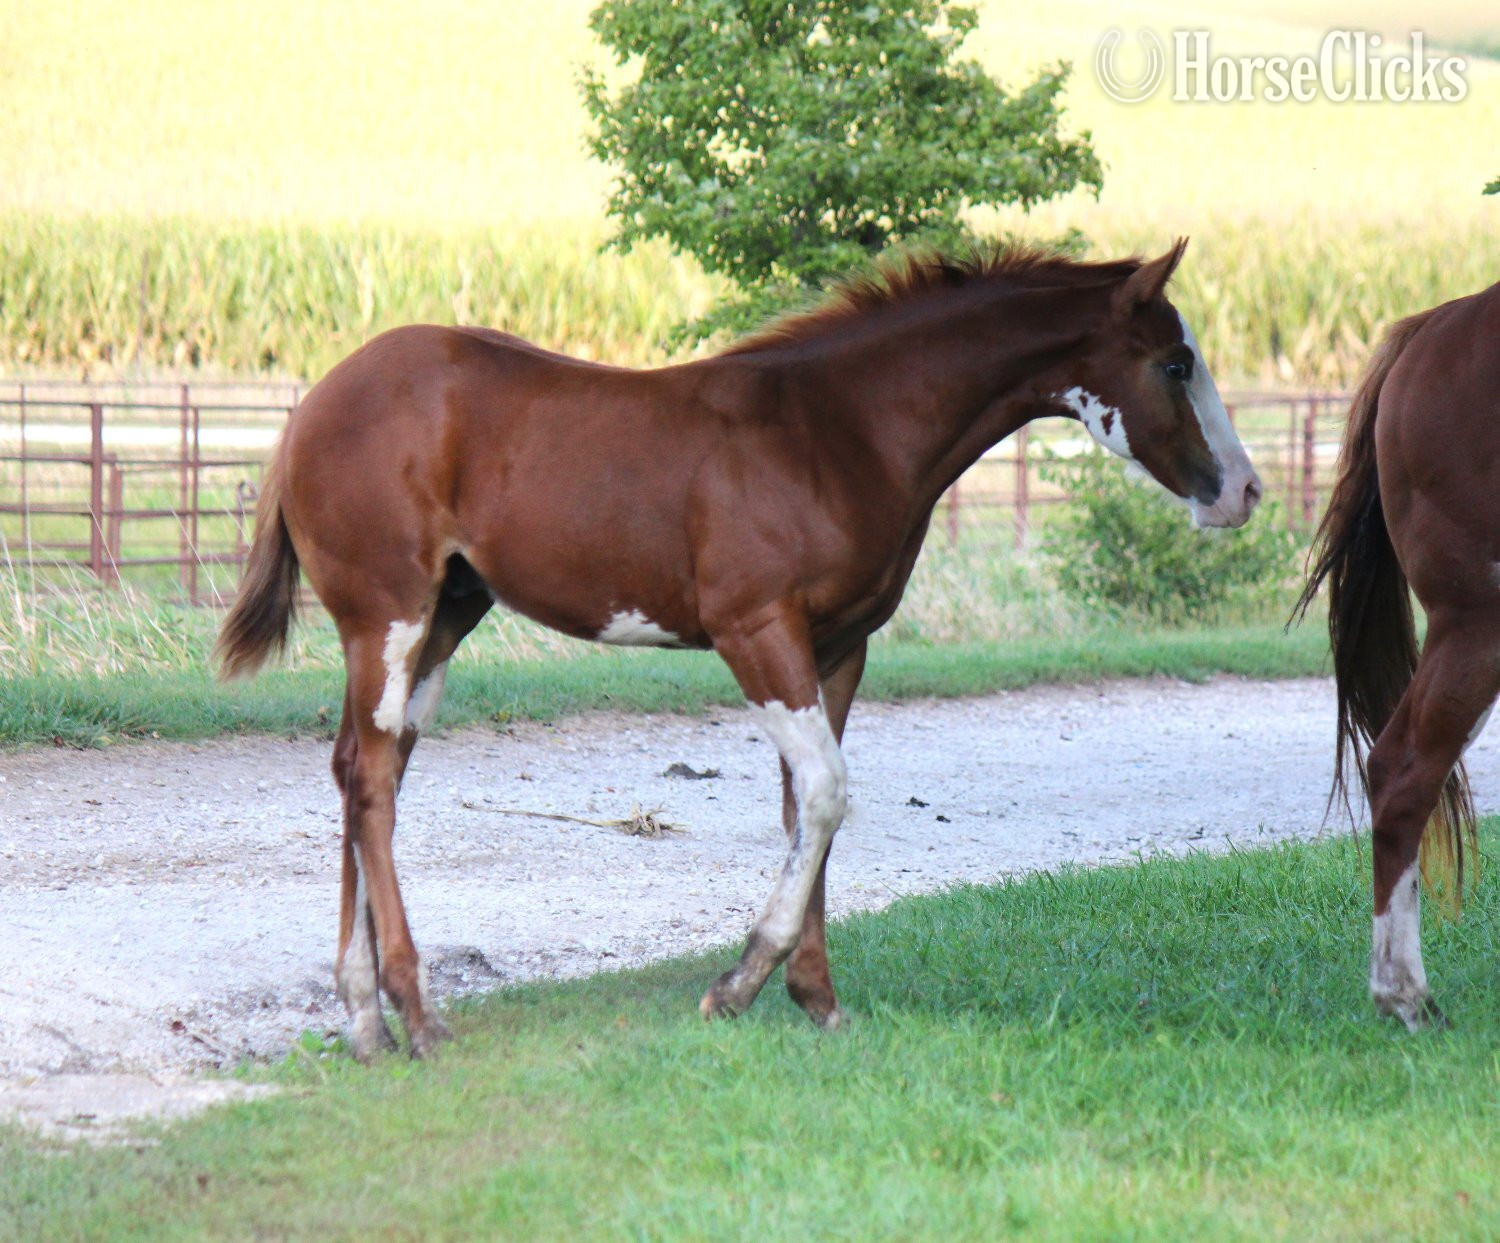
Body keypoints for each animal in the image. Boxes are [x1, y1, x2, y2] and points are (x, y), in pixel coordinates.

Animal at [215, 239, 1263, 1060]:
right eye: (1177, 363)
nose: (1244, 492)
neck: (837, 431)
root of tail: (311, 407)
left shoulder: (837, 648)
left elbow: (808, 810)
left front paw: (819, 1000)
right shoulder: (754, 630)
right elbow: (828, 792)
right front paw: (739, 983)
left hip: (443, 618)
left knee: (365, 767)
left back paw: (365, 1019)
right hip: (385, 614)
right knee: (371, 781)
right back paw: (414, 1016)